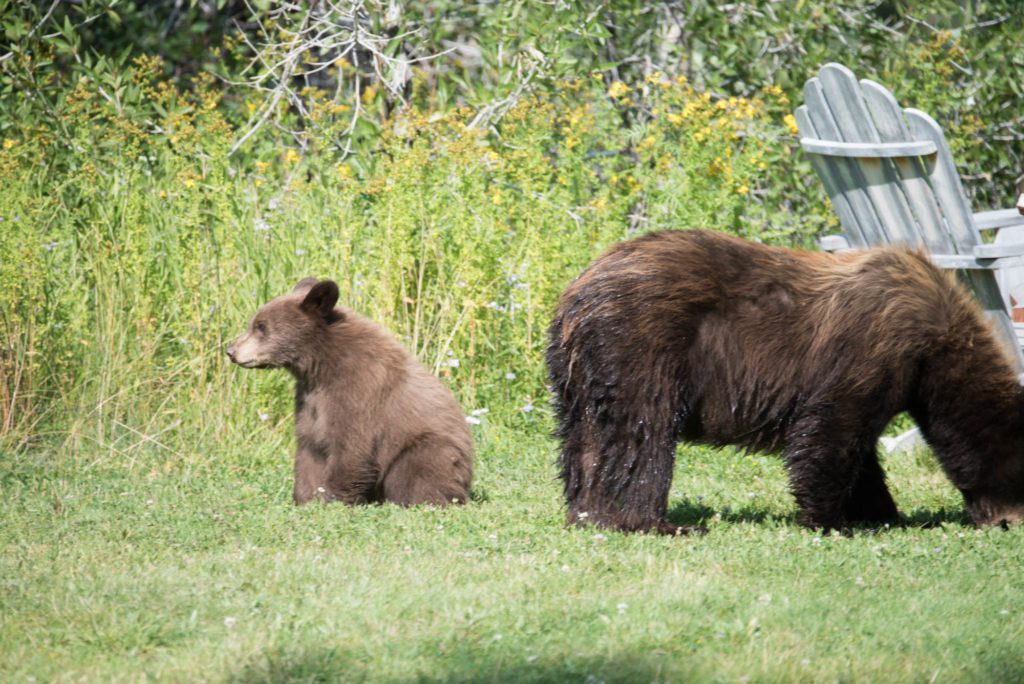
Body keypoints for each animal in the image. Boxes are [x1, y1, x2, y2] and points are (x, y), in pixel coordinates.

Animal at [227, 278, 473, 506]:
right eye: (254, 323)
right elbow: (309, 448)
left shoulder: (357, 390)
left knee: (418, 472)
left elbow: (352, 447)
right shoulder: (309, 398)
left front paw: (331, 501)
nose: (231, 351)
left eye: (261, 326)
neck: (321, 365)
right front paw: (304, 500)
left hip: (428, 449)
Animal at [547, 229, 1024, 535]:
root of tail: (577, 293)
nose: (1009, 521)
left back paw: (590, 514)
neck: (935, 348)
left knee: (585, 439)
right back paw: (654, 523)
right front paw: (834, 520)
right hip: (643, 344)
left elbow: (859, 451)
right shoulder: (871, 348)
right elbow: (833, 432)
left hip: (577, 373)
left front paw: (879, 512)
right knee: (644, 431)